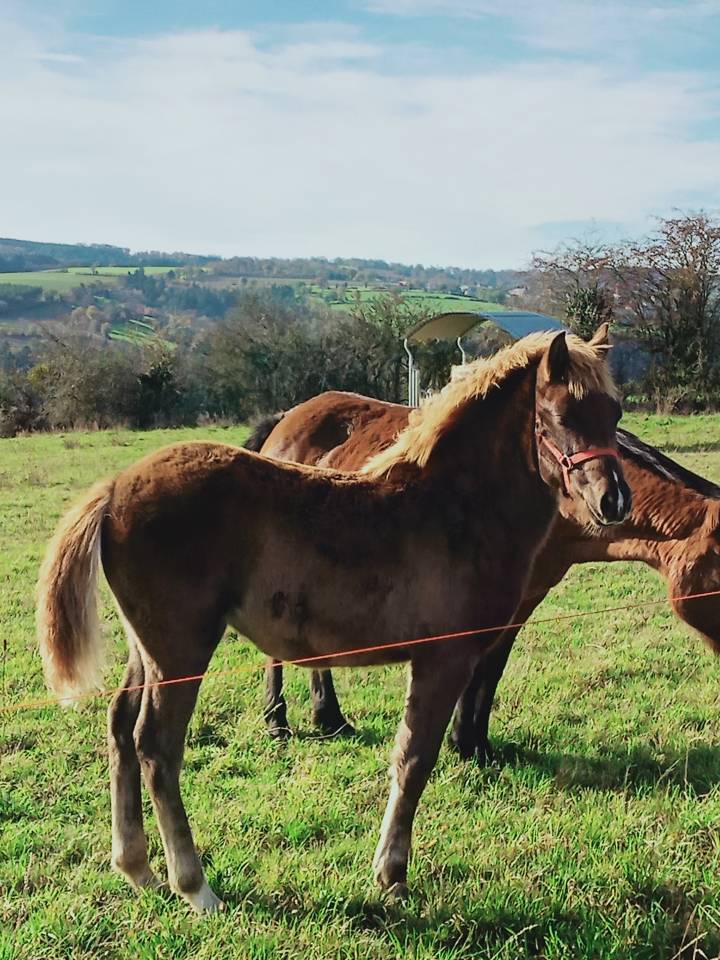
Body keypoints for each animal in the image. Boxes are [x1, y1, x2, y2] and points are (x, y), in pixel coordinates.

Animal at [37, 330, 629, 913]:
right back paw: (194, 886)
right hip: (183, 648)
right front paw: (392, 876)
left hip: (148, 649)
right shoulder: (444, 659)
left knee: (119, 726)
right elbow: (414, 759)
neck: (454, 509)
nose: (614, 500)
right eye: (562, 413)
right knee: (156, 746)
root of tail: (114, 489)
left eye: (615, 411)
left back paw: (138, 869)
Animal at [249, 362, 720, 763]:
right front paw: (464, 743)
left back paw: (329, 718)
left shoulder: (526, 596)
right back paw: (277, 720)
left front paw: (475, 743)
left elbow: (492, 668)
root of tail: (287, 418)